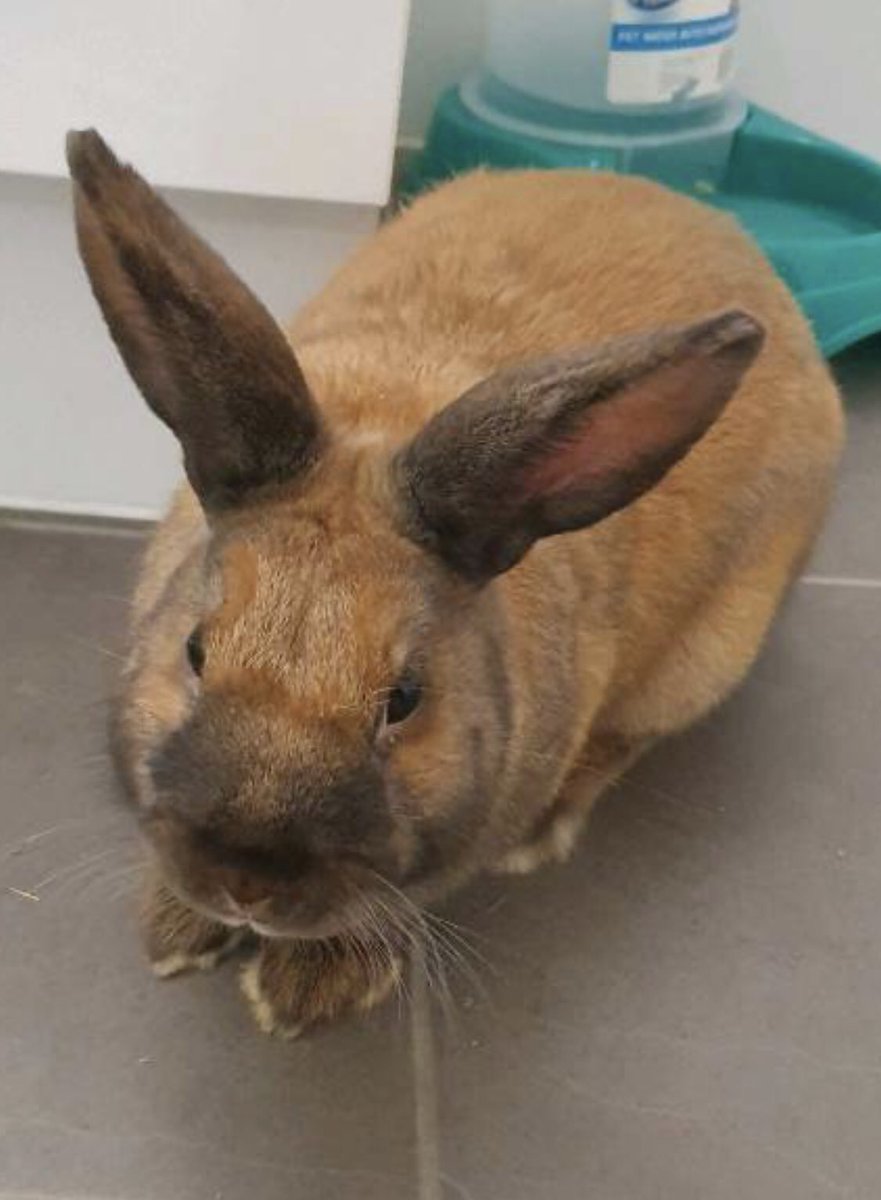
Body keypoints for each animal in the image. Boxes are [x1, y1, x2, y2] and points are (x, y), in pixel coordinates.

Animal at [66, 129, 843, 1036]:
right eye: (194, 650)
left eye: (405, 700)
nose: (246, 878)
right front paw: (176, 932)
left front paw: (307, 989)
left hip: (707, 657)